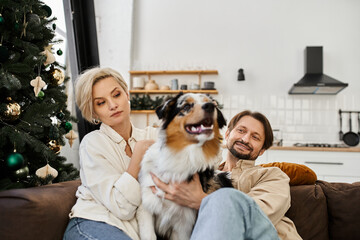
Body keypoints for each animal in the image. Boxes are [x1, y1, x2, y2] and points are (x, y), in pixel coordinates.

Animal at [136, 92, 232, 240]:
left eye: (212, 104)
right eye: (186, 106)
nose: (210, 106)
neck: (185, 154)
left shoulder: (183, 223)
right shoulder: (147, 206)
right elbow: (149, 235)